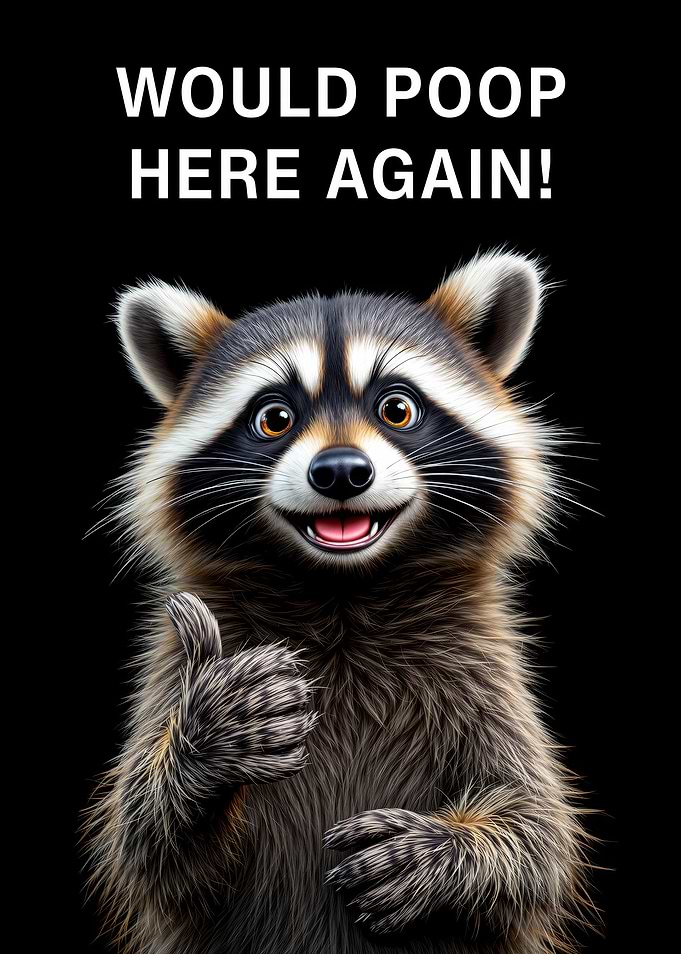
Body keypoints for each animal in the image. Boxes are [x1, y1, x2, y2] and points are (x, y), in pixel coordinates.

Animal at [85, 252, 592, 954]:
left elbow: (535, 833)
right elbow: (149, 851)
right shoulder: (169, 670)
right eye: (274, 418)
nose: (342, 472)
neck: (343, 593)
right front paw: (203, 741)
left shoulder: (483, 671)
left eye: (397, 408)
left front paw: (442, 852)